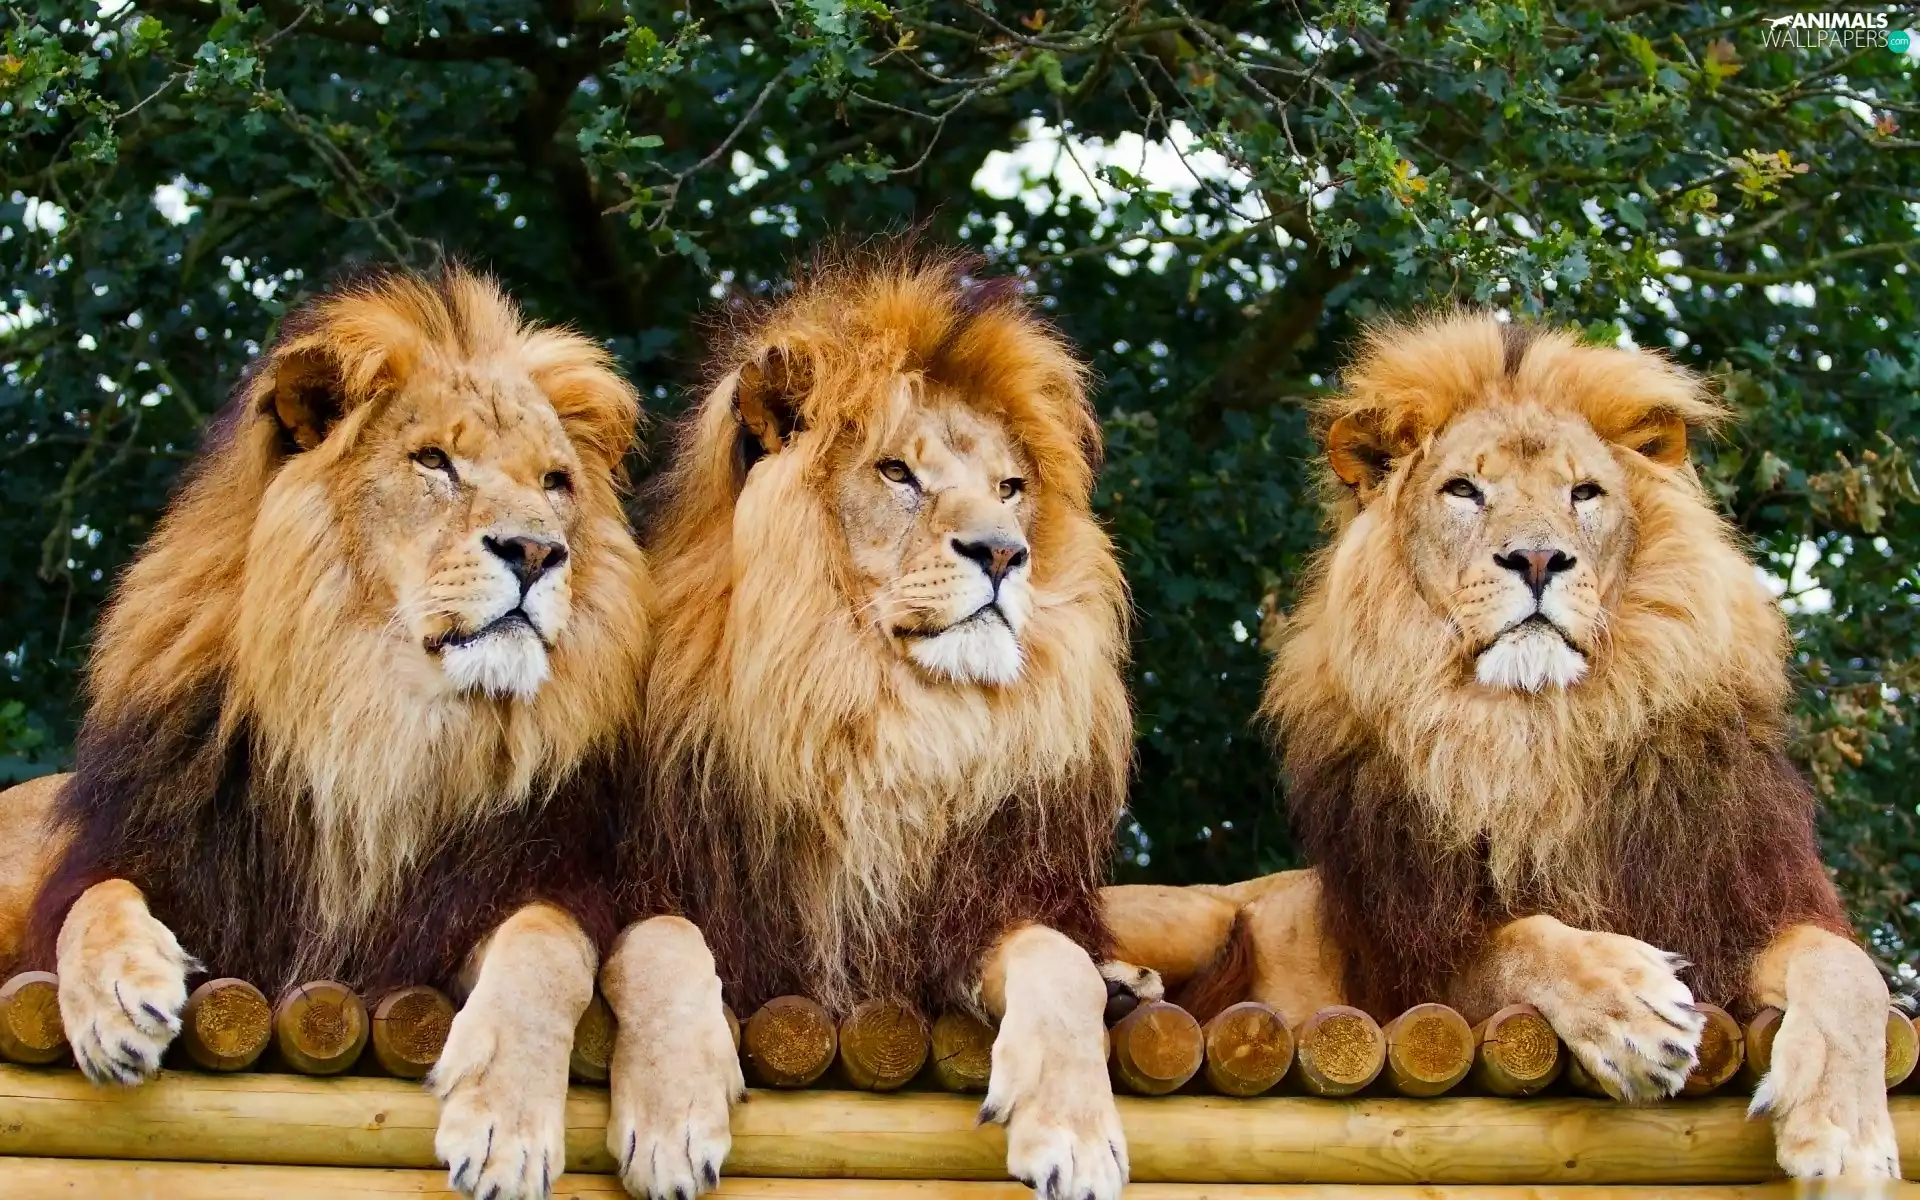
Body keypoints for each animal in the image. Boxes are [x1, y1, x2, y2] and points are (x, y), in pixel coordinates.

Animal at [0, 266, 702, 1200]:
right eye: (434, 460)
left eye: (555, 481)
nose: (536, 552)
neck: (378, 719)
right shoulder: (152, 851)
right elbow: (94, 896)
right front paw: (120, 994)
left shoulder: (480, 900)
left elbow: (546, 943)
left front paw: (506, 1126)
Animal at [595, 246, 1138, 1200]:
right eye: (897, 474)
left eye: (1011, 488)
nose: (1005, 553)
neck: (887, 712)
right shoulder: (660, 876)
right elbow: (666, 941)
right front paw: (671, 1125)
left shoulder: (984, 905)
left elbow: (1060, 961)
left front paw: (1074, 1136)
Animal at [1104, 312, 1894, 1181]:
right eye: (1464, 490)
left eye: (1584, 493)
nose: (1538, 558)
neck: (1536, 729)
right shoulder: (1413, 961)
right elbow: (1523, 939)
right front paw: (1630, 1005)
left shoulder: (1736, 907)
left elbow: (1846, 967)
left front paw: (1847, 1138)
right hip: (1194, 913)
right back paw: (1118, 986)